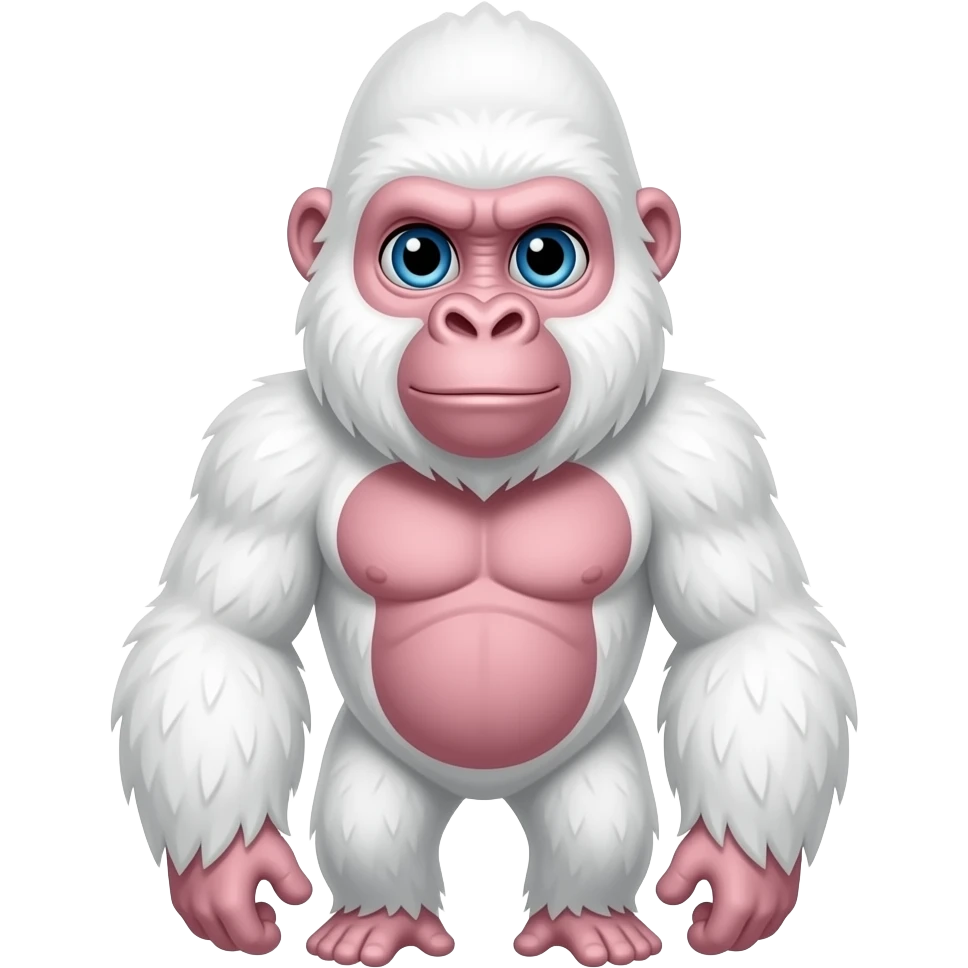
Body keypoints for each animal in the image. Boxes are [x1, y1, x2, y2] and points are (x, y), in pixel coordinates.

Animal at [111, 4, 857, 967]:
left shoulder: (709, 449)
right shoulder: (259, 448)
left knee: (596, 812)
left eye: (545, 256)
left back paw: (587, 915)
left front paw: (741, 867)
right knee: (372, 813)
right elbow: (223, 635)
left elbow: (744, 636)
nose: (483, 320)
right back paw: (381, 914)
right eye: (419, 256)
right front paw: (226, 867)